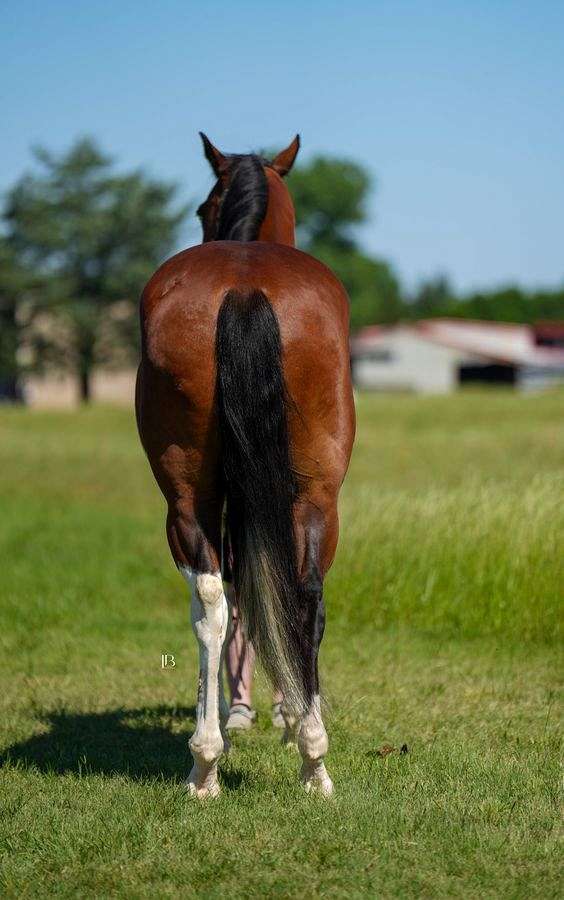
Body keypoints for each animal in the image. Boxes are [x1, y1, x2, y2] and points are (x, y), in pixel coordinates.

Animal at [136, 133, 355, 798]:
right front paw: (280, 714)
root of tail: (243, 287)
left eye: (203, 207)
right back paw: (308, 758)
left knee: (216, 601)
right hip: (316, 497)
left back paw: (208, 761)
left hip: (189, 500)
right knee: (299, 596)